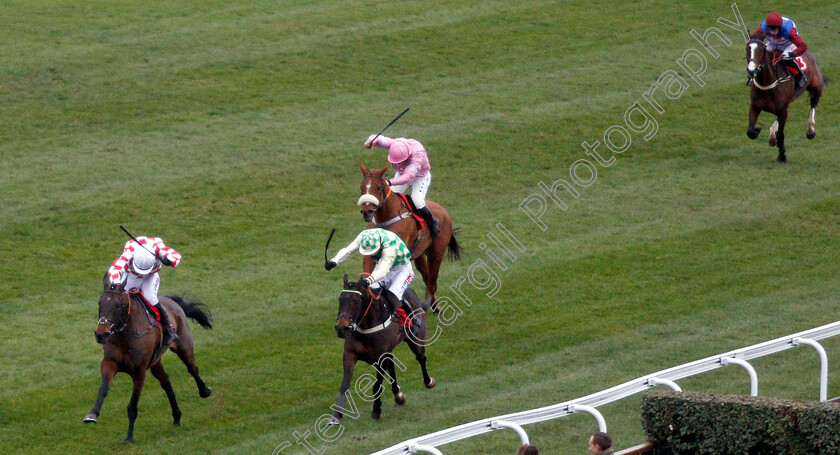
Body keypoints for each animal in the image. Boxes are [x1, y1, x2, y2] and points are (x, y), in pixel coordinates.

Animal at [84, 276, 213, 444]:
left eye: (118, 305)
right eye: (100, 303)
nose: (101, 334)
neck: (126, 334)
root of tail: (171, 300)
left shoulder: (139, 372)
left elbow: (132, 406)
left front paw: (129, 437)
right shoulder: (109, 363)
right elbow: (103, 388)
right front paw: (92, 414)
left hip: (183, 347)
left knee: (192, 368)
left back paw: (204, 391)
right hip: (155, 362)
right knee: (166, 382)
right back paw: (177, 417)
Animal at [332, 272, 436, 422]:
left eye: (356, 301)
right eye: (340, 299)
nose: (341, 328)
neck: (367, 327)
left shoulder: (381, 357)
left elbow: (377, 385)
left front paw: (376, 410)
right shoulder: (350, 354)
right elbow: (345, 384)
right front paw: (336, 416)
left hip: (415, 340)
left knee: (421, 358)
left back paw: (428, 381)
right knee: (392, 367)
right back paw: (398, 395)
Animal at [354, 162, 460, 312]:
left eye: (379, 187)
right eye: (362, 187)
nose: (367, 212)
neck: (387, 218)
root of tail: (444, 211)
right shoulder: (370, 256)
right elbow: (368, 276)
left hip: (437, 253)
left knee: (432, 282)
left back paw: (428, 306)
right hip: (419, 255)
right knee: (427, 277)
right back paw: (434, 306)